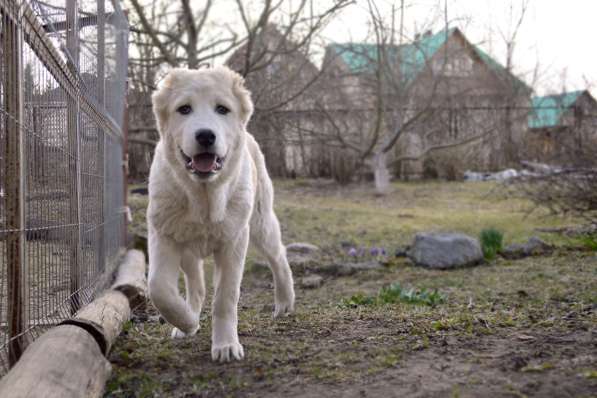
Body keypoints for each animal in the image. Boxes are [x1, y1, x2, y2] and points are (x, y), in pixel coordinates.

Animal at [145, 67, 294, 362]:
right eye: (184, 109)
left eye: (222, 109)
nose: (205, 135)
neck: (203, 196)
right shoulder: (163, 235)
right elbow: (159, 288)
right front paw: (187, 322)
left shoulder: (234, 241)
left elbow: (225, 298)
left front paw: (225, 345)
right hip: (187, 250)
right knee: (196, 286)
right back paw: (189, 319)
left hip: (260, 223)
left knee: (278, 256)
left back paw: (284, 301)